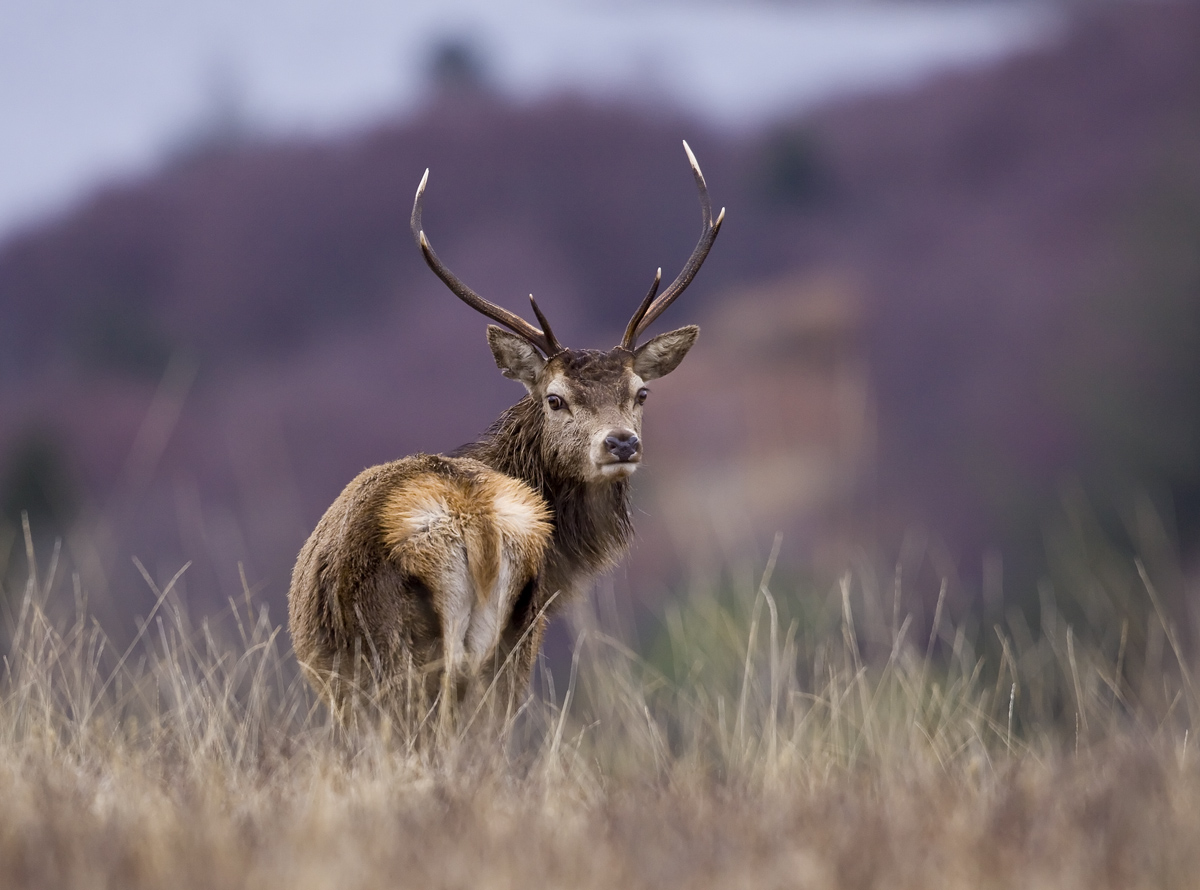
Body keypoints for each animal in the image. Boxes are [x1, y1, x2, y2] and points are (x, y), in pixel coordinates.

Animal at [288, 141, 724, 730]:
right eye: (555, 398)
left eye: (641, 393)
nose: (621, 443)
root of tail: (477, 529)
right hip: (493, 649)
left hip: (403, 658)